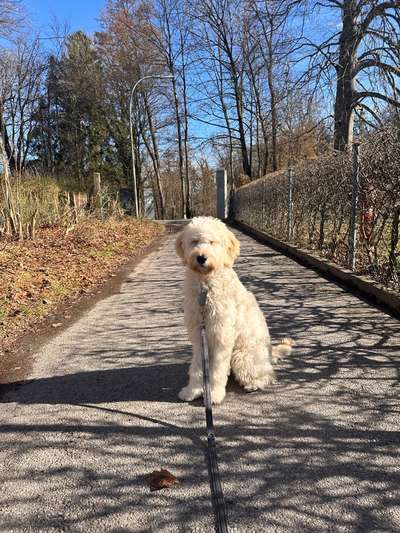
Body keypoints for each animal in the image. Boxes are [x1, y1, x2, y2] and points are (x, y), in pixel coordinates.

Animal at [176, 216, 294, 404]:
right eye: (194, 242)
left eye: (212, 242)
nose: (201, 257)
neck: (205, 289)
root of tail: (269, 353)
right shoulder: (198, 335)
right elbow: (197, 368)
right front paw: (192, 391)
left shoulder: (222, 336)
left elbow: (217, 370)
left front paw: (214, 394)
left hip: (242, 356)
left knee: (268, 375)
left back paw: (254, 384)